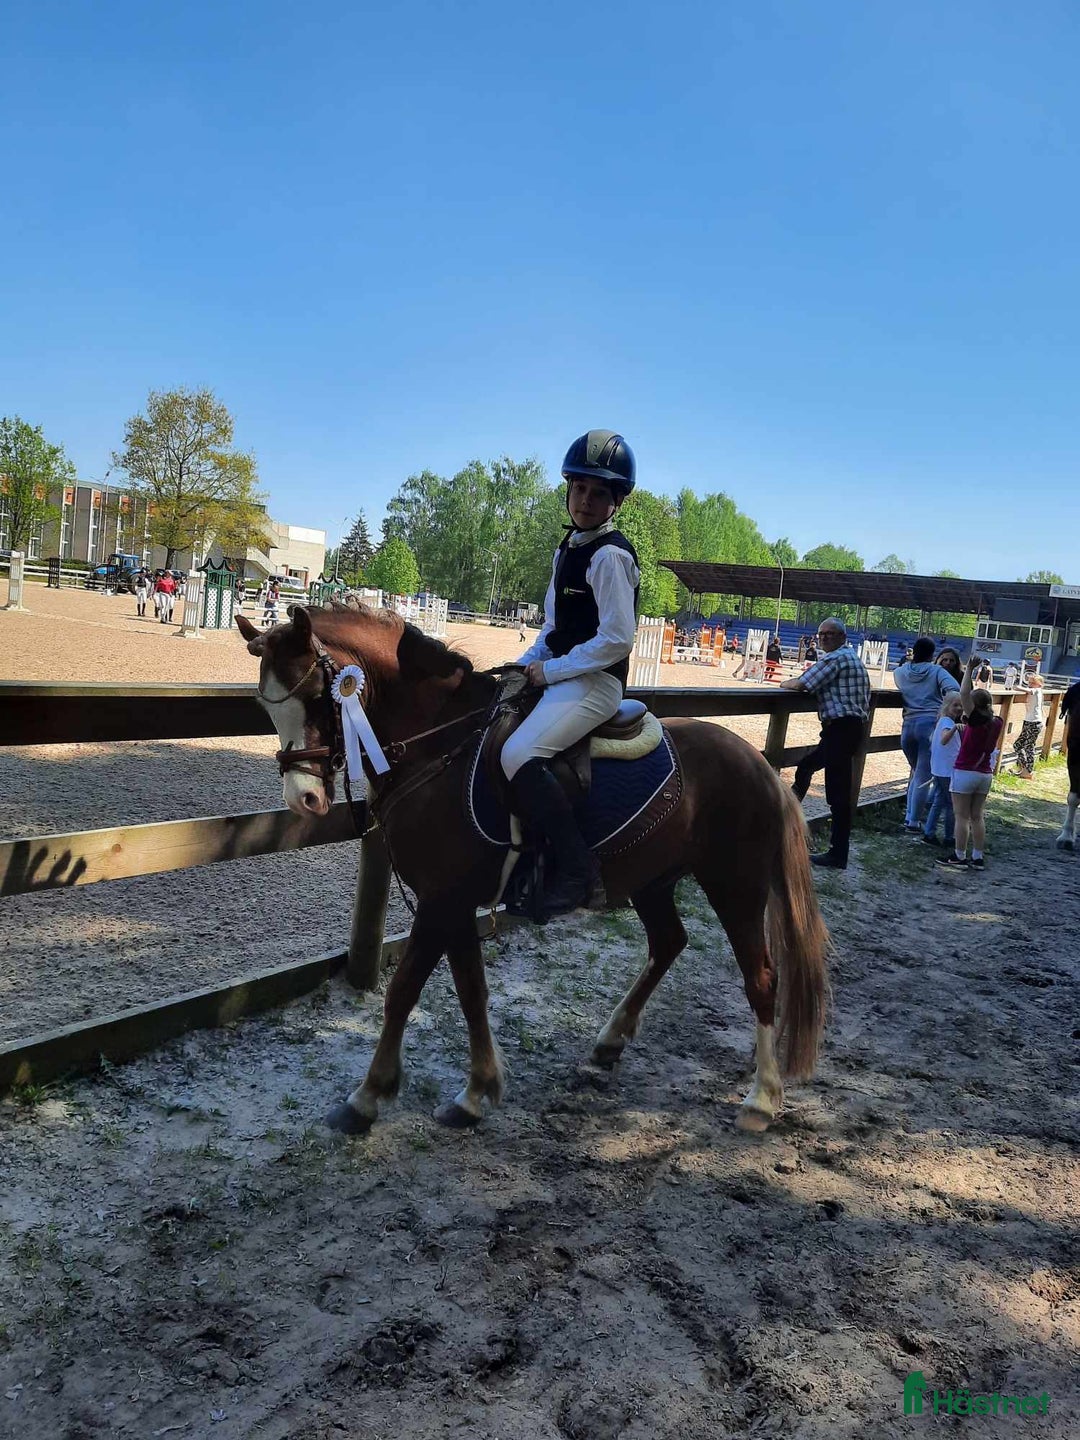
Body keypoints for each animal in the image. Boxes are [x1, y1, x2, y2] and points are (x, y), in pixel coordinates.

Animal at [236, 603, 829, 1135]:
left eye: (319, 696)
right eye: (265, 705)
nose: (303, 799)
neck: (439, 746)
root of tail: (760, 766)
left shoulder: (441, 900)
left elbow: (403, 991)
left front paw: (367, 1097)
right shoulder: (453, 902)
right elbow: (471, 990)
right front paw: (476, 1093)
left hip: (736, 886)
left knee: (761, 977)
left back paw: (762, 1099)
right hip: (653, 879)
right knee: (668, 943)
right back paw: (610, 1042)